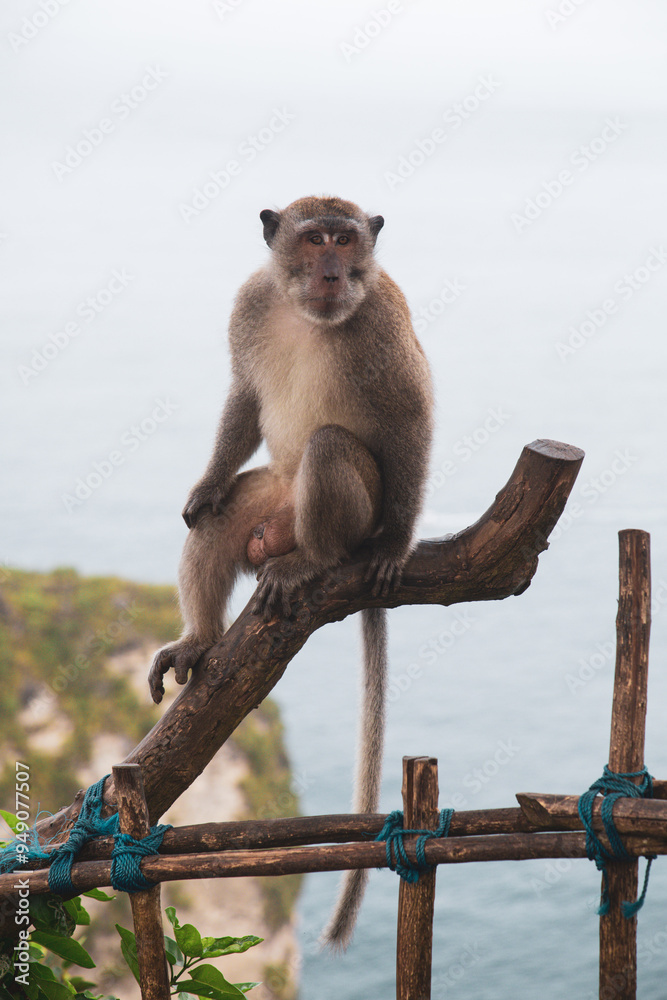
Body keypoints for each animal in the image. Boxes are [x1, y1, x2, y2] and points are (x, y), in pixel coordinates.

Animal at [148, 195, 434, 950]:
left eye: (345, 239)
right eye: (313, 240)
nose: (334, 270)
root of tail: (284, 528)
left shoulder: (382, 313)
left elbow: (408, 412)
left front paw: (398, 546)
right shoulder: (252, 300)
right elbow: (246, 394)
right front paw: (203, 485)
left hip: (349, 510)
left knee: (331, 446)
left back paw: (318, 561)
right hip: (271, 497)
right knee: (221, 521)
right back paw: (199, 637)